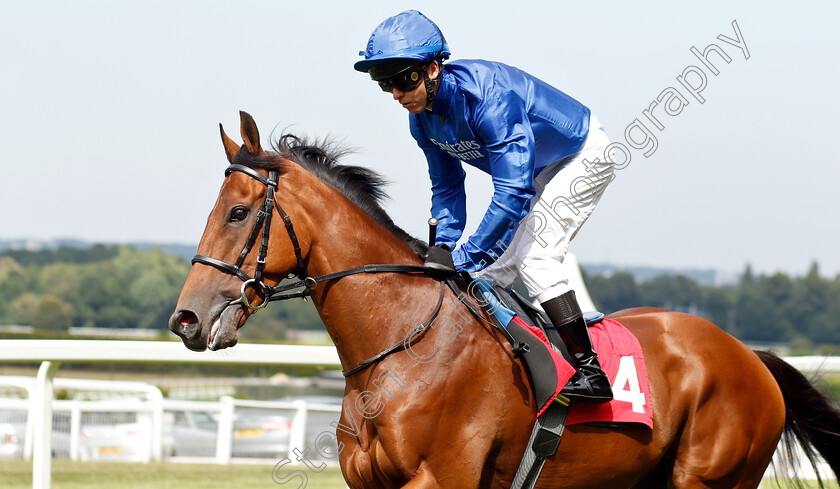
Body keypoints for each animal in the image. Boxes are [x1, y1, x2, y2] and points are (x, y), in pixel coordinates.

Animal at [171, 111, 840, 488]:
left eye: (237, 212)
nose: (186, 319)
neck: (401, 348)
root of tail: (752, 357)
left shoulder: (441, 478)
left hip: (710, 476)